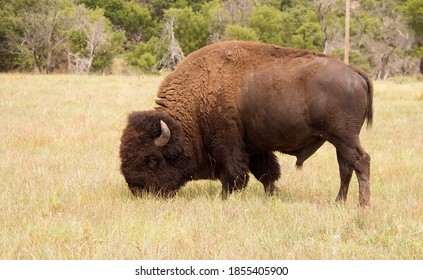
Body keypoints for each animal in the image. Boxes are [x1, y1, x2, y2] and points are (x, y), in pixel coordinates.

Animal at [117, 41, 372, 207]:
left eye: (152, 159)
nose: (137, 190)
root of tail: (354, 71)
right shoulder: (254, 147)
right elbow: (266, 173)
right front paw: (273, 195)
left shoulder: (227, 143)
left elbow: (234, 173)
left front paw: (225, 197)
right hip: (339, 140)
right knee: (345, 167)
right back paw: (339, 202)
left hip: (344, 137)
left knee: (360, 161)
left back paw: (362, 204)